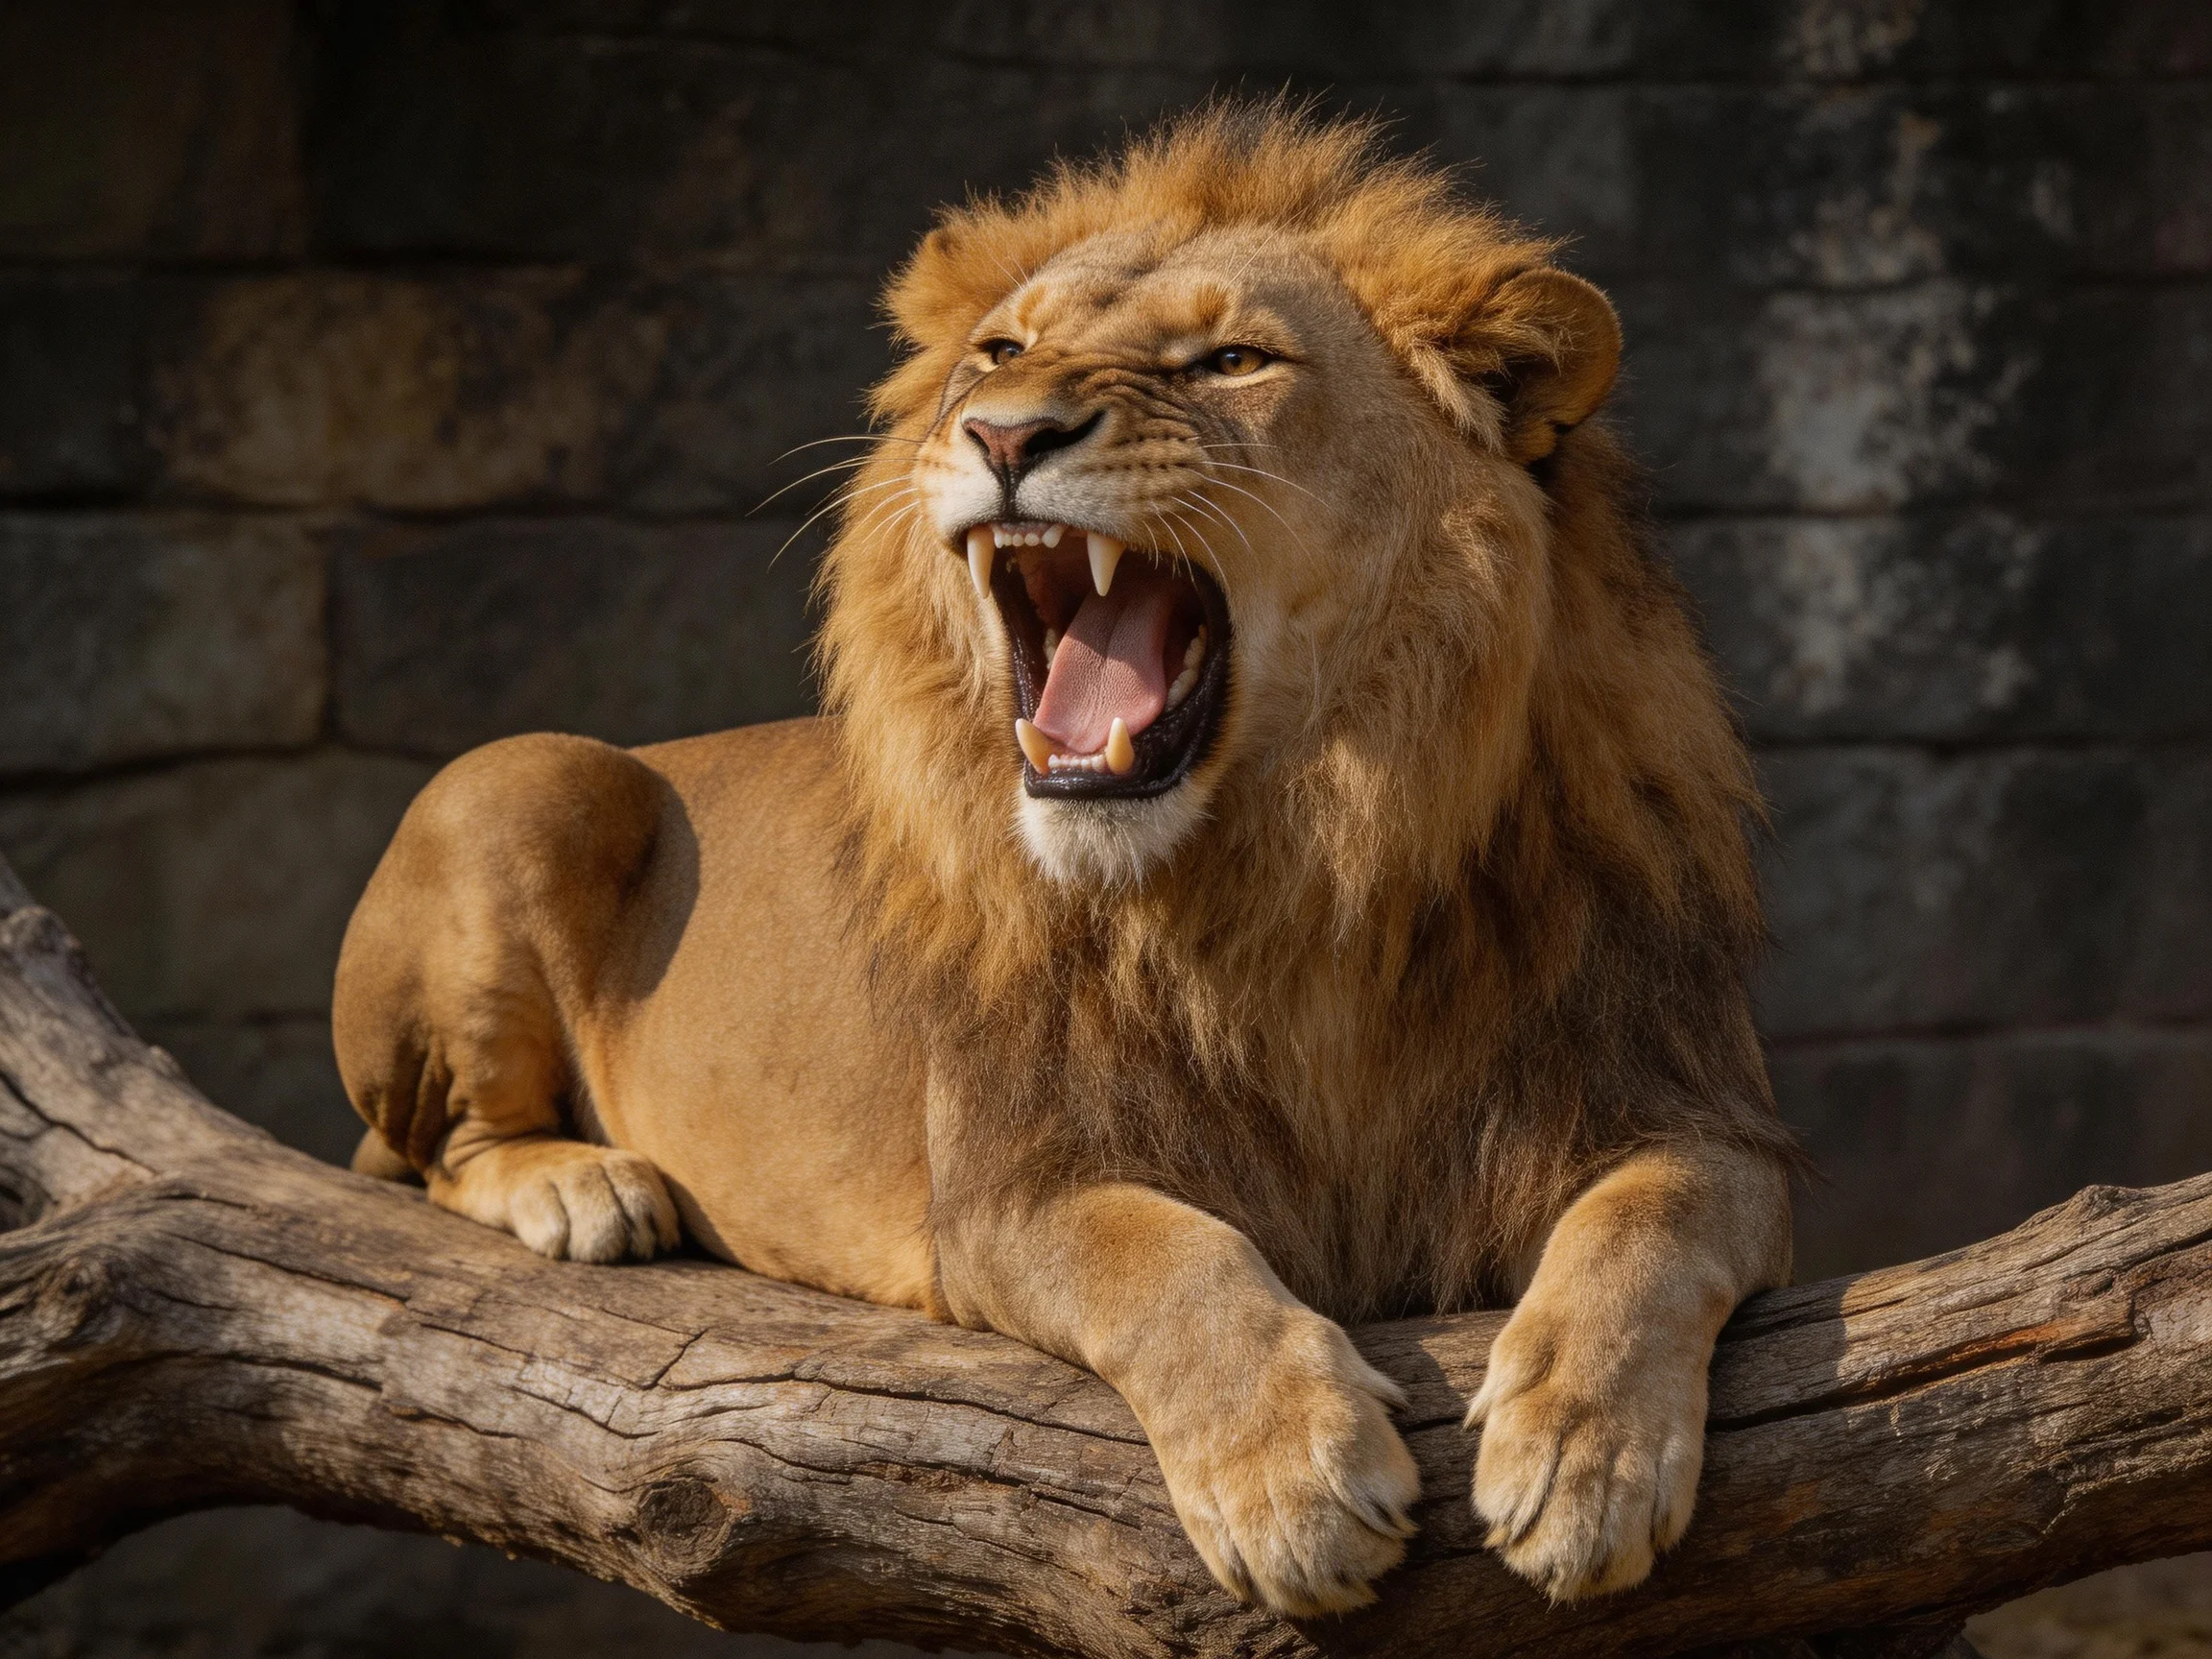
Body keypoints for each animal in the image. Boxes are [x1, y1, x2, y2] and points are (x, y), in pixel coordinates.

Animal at [333, 103, 1797, 1616]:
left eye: (1232, 360)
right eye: (997, 353)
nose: (1004, 431)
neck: (1301, 871)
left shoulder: (1697, 1110)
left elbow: (1652, 1221)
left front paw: (1582, 1455)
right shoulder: (1009, 1188)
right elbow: (1168, 1260)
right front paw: (1291, 1478)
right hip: (530, 774)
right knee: (437, 1149)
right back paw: (585, 1190)